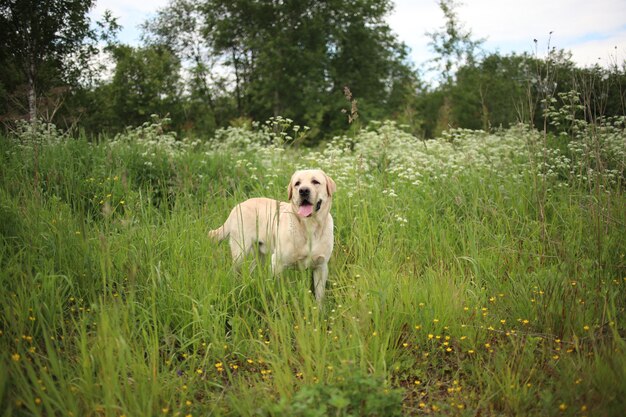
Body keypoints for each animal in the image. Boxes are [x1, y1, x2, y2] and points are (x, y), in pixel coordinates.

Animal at [208, 169, 336, 302]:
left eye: (315, 181)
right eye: (297, 183)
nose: (303, 191)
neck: (309, 226)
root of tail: (238, 206)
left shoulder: (321, 267)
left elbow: (320, 297)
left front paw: (318, 308)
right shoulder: (277, 263)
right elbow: (277, 289)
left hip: (260, 256)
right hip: (240, 252)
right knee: (234, 272)